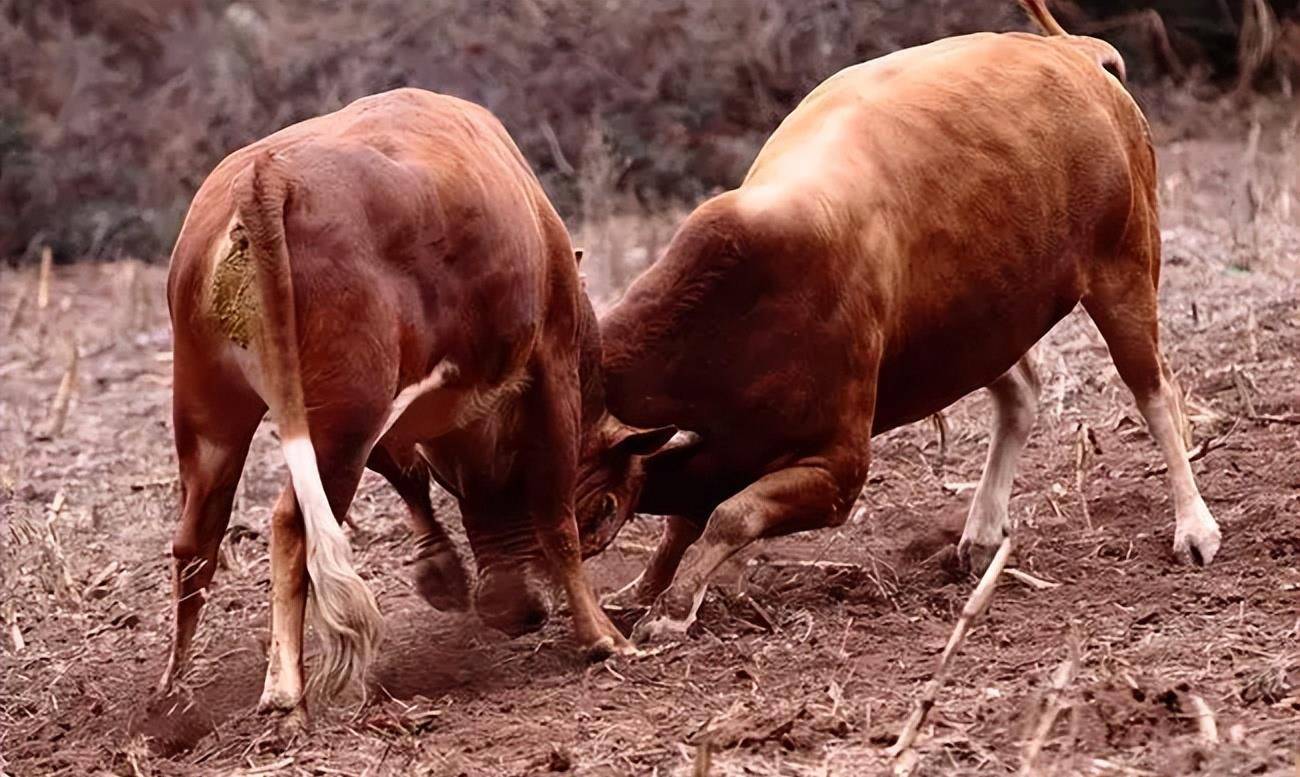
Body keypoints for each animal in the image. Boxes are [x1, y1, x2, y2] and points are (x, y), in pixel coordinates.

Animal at [157, 89, 676, 717]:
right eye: (607, 509)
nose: (516, 611)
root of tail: (267, 175)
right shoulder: (551, 366)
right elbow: (556, 514)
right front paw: (603, 637)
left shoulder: (415, 415)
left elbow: (411, 478)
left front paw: (441, 571)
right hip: (342, 420)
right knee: (291, 522)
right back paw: (284, 687)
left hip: (213, 413)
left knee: (196, 539)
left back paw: (174, 694)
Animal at [585, 1, 1222, 644]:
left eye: (597, 506)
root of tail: (1076, 53)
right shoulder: (723, 450)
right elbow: (687, 517)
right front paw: (642, 591)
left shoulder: (840, 468)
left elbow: (729, 515)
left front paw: (670, 609)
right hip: (976, 320)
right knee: (1022, 393)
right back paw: (982, 533)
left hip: (1125, 267)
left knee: (1155, 390)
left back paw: (1194, 527)